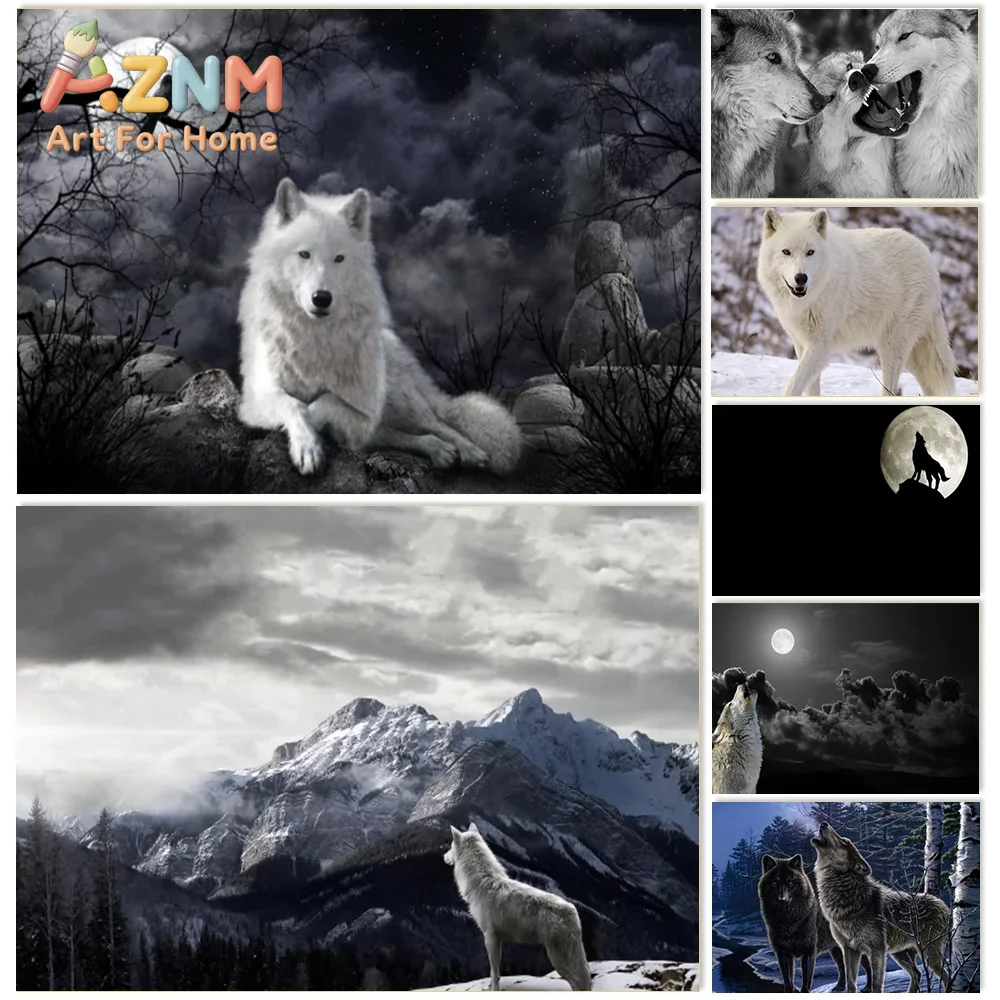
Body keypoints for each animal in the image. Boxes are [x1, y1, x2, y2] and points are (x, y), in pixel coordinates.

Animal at [238, 178, 522, 477]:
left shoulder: (364, 409)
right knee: (406, 435)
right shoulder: (256, 398)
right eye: (304, 254)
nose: (322, 298)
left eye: (339, 258)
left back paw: (470, 451)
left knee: (438, 423)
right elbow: (293, 403)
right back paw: (440, 451)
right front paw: (308, 447)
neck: (315, 337)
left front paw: (314, 433)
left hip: (403, 401)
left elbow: (327, 403)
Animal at [444, 823, 592, 992]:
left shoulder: (490, 937)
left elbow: (494, 972)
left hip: (558, 960)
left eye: (450, 847)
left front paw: (493, 990)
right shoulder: (497, 939)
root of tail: (572, 910)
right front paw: (489, 987)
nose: (443, 856)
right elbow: (494, 972)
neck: (482, 882)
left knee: (579, 983)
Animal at [757, 209, 957, 397]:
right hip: (911, 356)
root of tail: (928, 258)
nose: (801, 278)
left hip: (892, 347)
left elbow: (794, 383)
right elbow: (810, 388)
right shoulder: (801, 343)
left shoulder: (820, 345)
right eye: (786, 252)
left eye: (810, 252)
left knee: (890, 389)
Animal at [759, 854, 874, 993]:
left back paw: (868, 988)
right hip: (836, 951)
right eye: (774, 883)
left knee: (868, 966)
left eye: (790, 883)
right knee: (842, 969)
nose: (782, 899)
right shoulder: (783, 954)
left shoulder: (809, 951)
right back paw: (839, 988)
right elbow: (788, 981)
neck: (789, 920)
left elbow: (806, 981)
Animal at [812, 822, 950, 993]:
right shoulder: (849, 949)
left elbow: (877, 984)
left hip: (928, 955)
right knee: (917, 973)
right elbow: (851, 983)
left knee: (946, 976)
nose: (823, 824)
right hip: (900, 954)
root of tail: (944, 906)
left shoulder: (877, 949)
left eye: (843, 841)